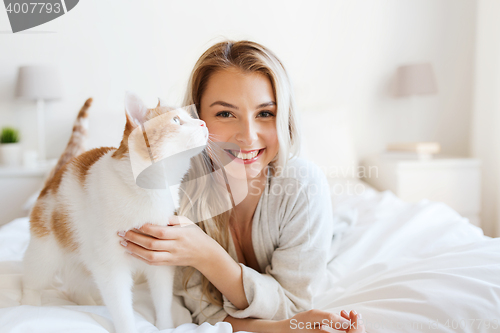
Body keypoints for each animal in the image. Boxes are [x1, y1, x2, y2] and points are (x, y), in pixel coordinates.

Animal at [22, 92, 207, 332]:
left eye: (191, 116)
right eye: (176, 120)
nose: (203, 123)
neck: (151, 190)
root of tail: (57, 174)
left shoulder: (160, 260)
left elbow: (163, 302)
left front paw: (165, 327)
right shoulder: (112, 269)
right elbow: (122, 309)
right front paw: (128, 328)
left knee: (74, 284)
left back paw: (89, 303)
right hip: (46, 254)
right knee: (31, 281)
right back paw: (29, 307)